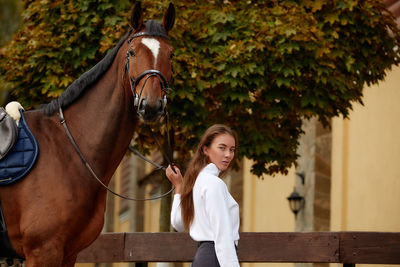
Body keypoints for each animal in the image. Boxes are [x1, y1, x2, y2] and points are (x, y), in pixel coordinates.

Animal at [0, 2, 175, 267]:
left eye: (171, 54)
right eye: (132, 53)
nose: (152, 105)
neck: (69, 150)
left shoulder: (69, 253)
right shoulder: (43, 251)